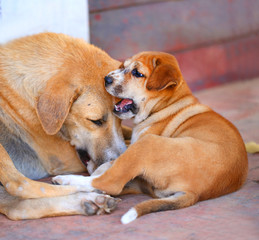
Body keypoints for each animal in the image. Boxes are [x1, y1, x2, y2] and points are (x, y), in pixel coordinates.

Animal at [0, 32, 127, 220]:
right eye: (95, 121)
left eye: (121, 118)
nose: (119, 159)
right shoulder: (66, 158)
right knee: (20, 185)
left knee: (17, 208)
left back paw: (89, 201)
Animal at [53, 51, 249, 224]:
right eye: (123, 66)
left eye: (137, 73)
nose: (106, 79)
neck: (166, 105)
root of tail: (196, 192)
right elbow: (112, 162)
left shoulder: (138, 142)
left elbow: (112, 164)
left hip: (148, 144)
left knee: (110, 182)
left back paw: (66, 179)